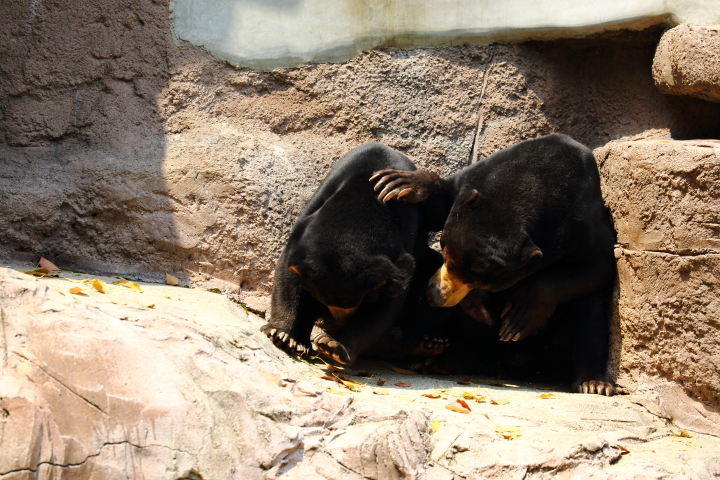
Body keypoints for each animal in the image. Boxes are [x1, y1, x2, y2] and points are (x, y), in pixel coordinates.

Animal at [262, 141, 448, 366]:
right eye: (325, 301)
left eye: (360, 299)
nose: (338, 320)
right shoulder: (311, 215)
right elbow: (287, 272)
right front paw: (284, 335)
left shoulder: (405, 233)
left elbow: (387, 305)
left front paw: (334, 346)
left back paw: (427, 344)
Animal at [374, 132, 616, 394]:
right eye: (446, 251)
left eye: (479, 281)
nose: (434, 296)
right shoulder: (474, 179)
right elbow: (442, 203)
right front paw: (401, 183)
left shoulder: (581, 223)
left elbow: (600, 265)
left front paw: (518, 318)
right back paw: (432, 355)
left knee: (590, 312)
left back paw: (593, 382)